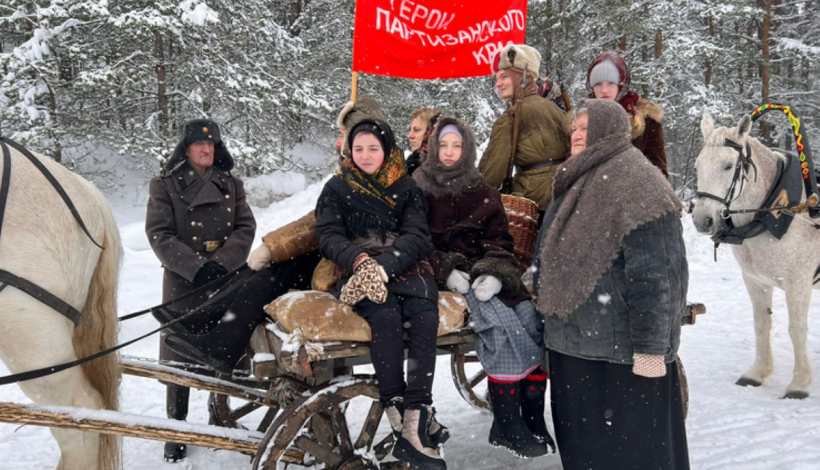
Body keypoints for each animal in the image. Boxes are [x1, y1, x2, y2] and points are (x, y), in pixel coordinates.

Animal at [692, 114, 820, 396]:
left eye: (728, 166)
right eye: (698, 165)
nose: (702, 220)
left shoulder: (798, 282)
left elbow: (797, 329)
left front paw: (799, 384)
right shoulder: (755, 280)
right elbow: (761, 324)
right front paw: (757, 373)